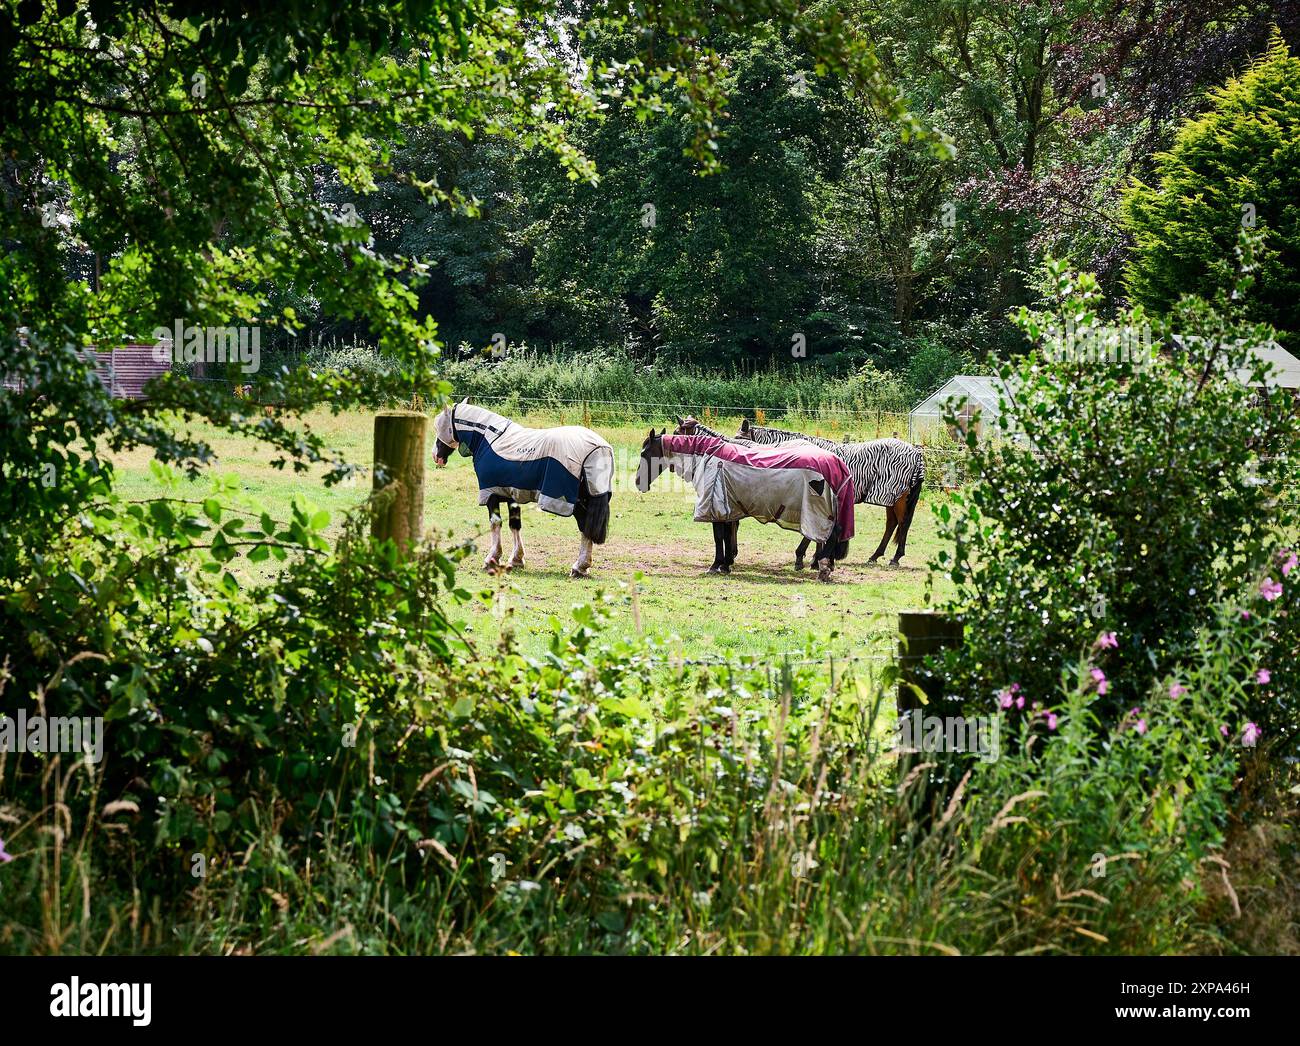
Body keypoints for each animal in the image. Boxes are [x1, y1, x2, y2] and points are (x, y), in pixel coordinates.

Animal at [432, 399, 614, 578]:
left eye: (440, 426)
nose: (436, 456)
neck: (490, 440)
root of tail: (598, 448)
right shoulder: (511, 495)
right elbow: (515, 524)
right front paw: (516, 559)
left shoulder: (491, 494)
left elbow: (495, 523)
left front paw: (492, 559)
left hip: (577, 504)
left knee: (585, 528)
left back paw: (579, 567)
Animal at [637, 427, 853, 581]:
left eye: (644, 453)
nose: (638, 483)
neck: (708, 457)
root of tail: (836, 463)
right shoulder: (728, 510)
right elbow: (726, 536)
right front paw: (726, 564)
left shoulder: (716, 509)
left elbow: (718, 537)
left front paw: (716, 565)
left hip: (818, 512)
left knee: (828, 535)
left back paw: (822, 567)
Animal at [737, 420, 924, 567]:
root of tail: (916, 452)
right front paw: (814, 557)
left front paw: (806, 557)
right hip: (891, 499)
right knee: (892, 523)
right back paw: (875, 556)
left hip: (897, 498)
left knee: (903, 523)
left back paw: (895, 557)